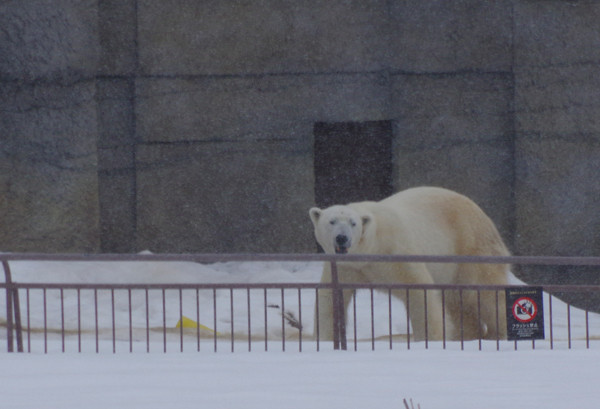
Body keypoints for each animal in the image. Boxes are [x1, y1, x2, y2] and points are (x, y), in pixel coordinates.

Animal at [310, 186, 510, 342]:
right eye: (331, 221)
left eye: (353, 223)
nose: (342, 238)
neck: (371, 247)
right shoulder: (345, 266)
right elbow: (331, 297)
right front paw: (326, 339)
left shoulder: (397, 252)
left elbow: (419, 291)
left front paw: (430, 339)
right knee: (456, 301)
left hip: (470, 248)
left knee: (485, 292)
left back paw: (499, 334)